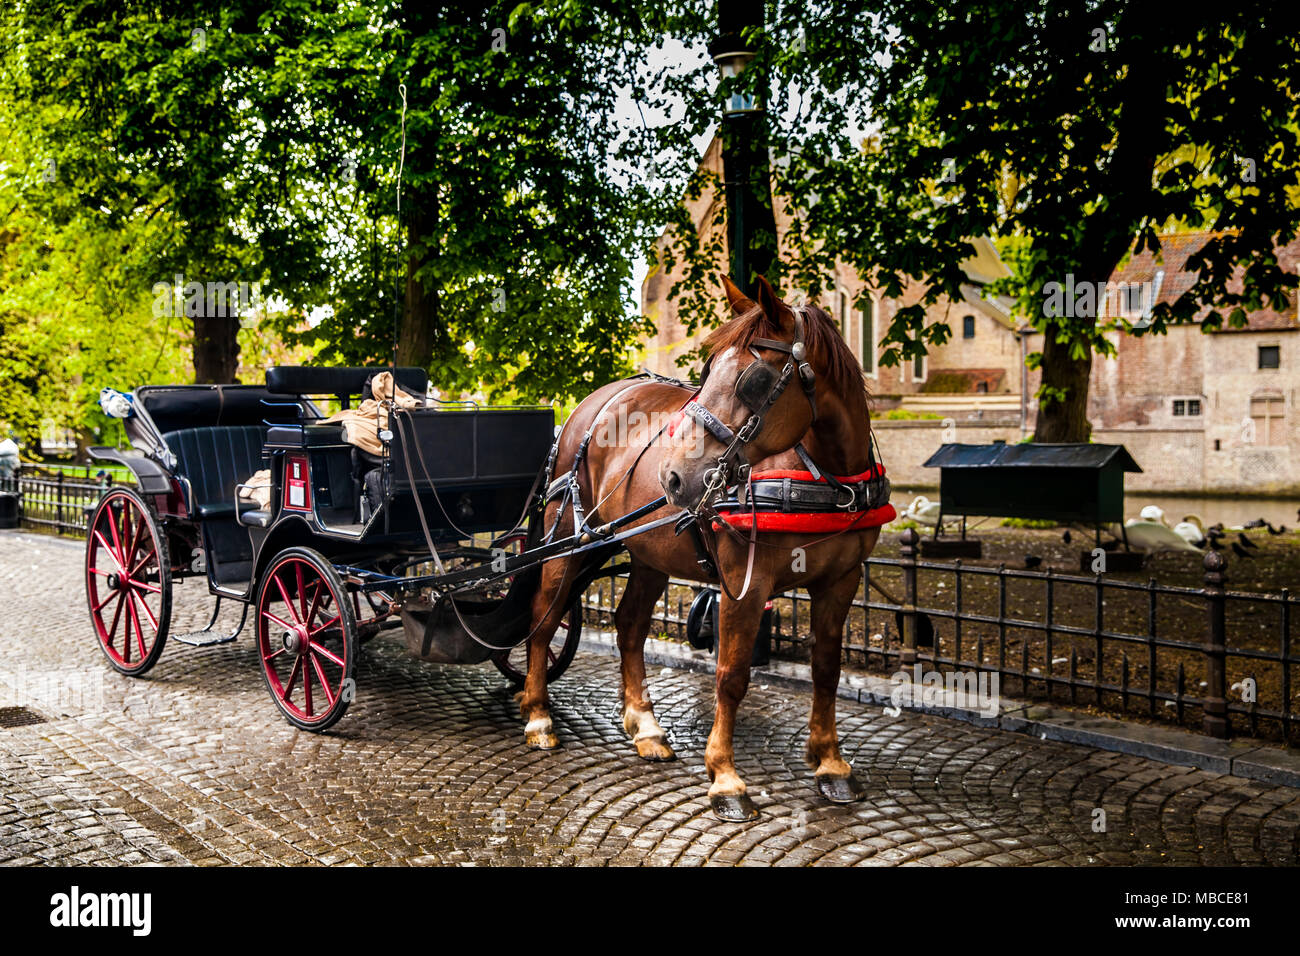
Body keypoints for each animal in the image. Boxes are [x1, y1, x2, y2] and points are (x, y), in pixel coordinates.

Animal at [518, 274, 892, 821]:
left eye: (753, 379)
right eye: (709, 370)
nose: (673, 477)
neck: (827, 476)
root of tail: (590, 405)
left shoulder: (840, 582)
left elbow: (827, 669)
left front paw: (830, 763)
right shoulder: (745, 585)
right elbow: (731, 676)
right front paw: (725, 778)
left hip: (649, 553)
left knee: (630, 626)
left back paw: (645, 726)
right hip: (567, 538)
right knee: (545, 618)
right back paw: (539, 716)